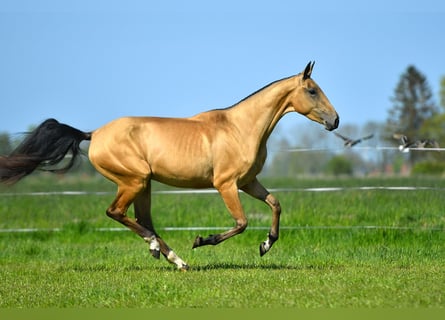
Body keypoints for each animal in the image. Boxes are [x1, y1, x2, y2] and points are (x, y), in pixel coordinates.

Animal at [0, 62, 338, 270]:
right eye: (312, 90)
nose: (335, 121)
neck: (239, 128)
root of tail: (93, 134)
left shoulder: (248, 182)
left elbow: (275, 204)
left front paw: (266, 245)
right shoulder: (226, 184)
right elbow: (241, 222)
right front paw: (202, 240)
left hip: (144, 185)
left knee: (141, 219)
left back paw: (174, 259)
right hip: (134, 181)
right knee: (117, 213)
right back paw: (167, 252)